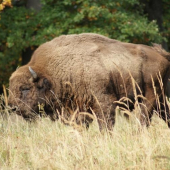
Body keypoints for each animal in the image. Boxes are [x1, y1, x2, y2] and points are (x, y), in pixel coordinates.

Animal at [7, 33, 170, 129]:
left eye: (25, 88)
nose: (12, 108)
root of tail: (161, 54)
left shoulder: (103, 104)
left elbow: (105, 125)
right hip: (161, 100)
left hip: (150, 97)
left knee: (144, 119)